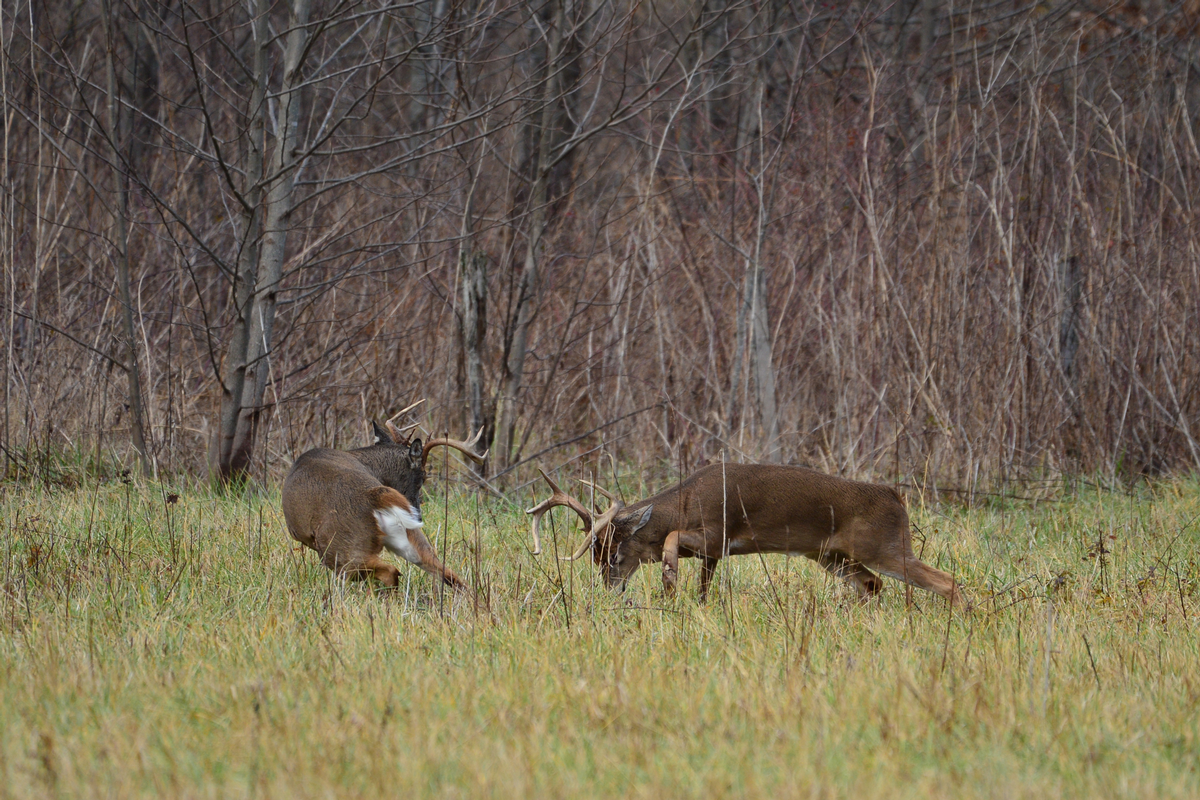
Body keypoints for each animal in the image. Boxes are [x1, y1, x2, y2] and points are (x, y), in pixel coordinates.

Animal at [282, 419, 487, 594]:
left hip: (339, 547)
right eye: (423, 476)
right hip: (411, 538)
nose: (418, 515)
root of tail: (376, 496)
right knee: (450, 575)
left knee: (389, 571)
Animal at [530, 462, 960, 606]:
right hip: (831, 556)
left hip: (883, 546)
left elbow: (672, 540)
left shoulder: (717, 535)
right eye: (596, 558)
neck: (685, 503)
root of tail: (896, 497)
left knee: (947, 581)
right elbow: (703, 590)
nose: (610, 589)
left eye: (616, 556)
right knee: (872, 585)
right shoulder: (713, 555)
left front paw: (669, 578)